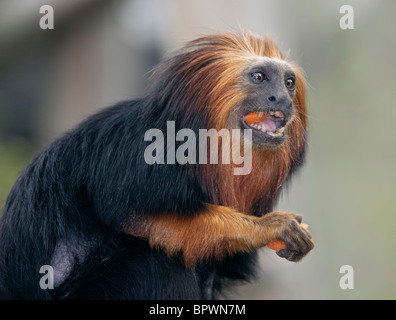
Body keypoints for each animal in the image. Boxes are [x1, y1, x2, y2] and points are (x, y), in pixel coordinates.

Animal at [0, 30, 316, 300]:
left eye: (289, 83)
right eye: (260, 77)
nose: (282, 99)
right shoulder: (140, 153)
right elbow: (130, 216)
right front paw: (264, 228)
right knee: (155, 264)